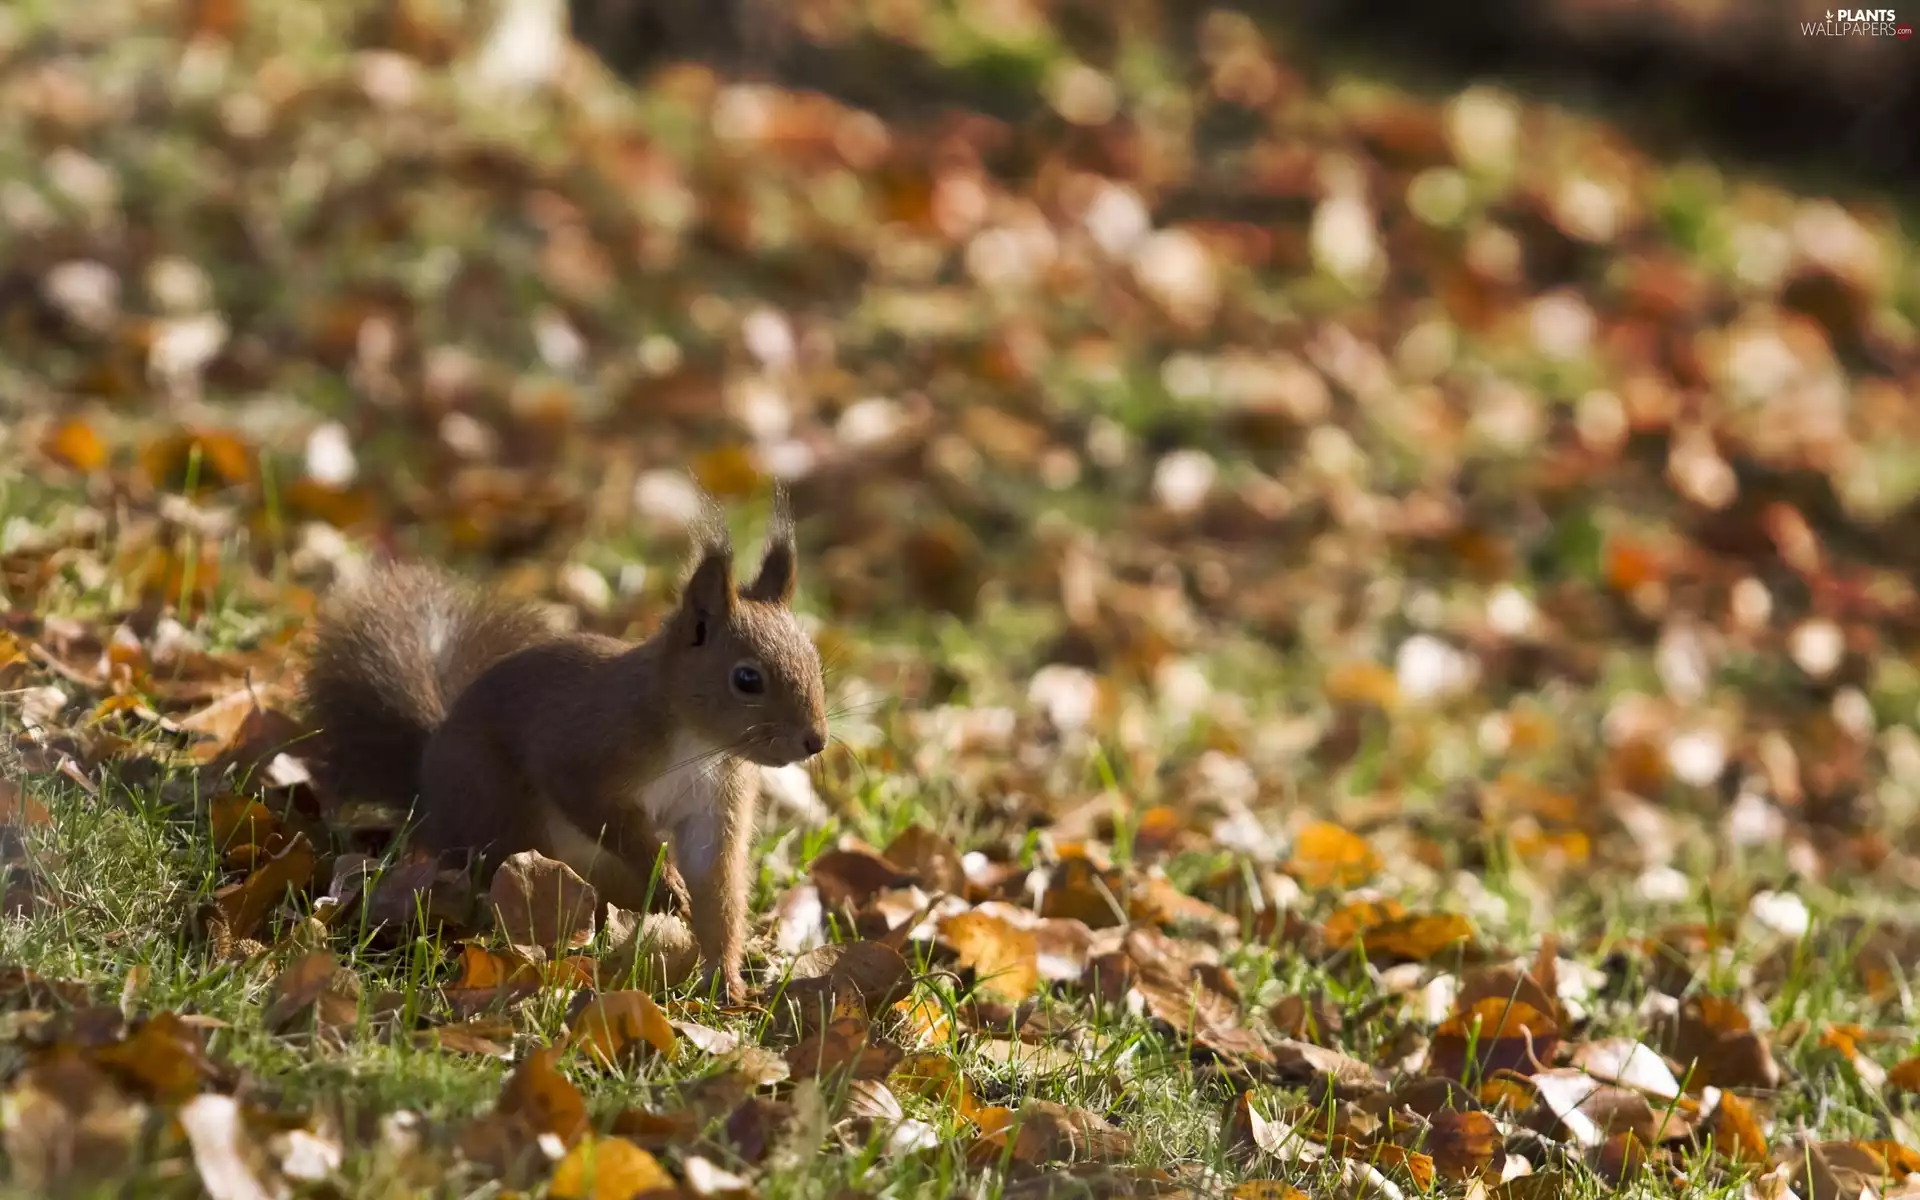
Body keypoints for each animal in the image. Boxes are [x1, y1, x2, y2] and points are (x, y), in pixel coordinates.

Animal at [298, 492, 827, 1002]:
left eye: (814, 659)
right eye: (747, 679)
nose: (816, 740)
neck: (697, 743)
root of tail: (427, 790)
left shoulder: (717, 801)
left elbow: (715, 881)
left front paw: (727, 981)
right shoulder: (584, 749)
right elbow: (598, 810)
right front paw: (667, 883)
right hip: (499, 814)